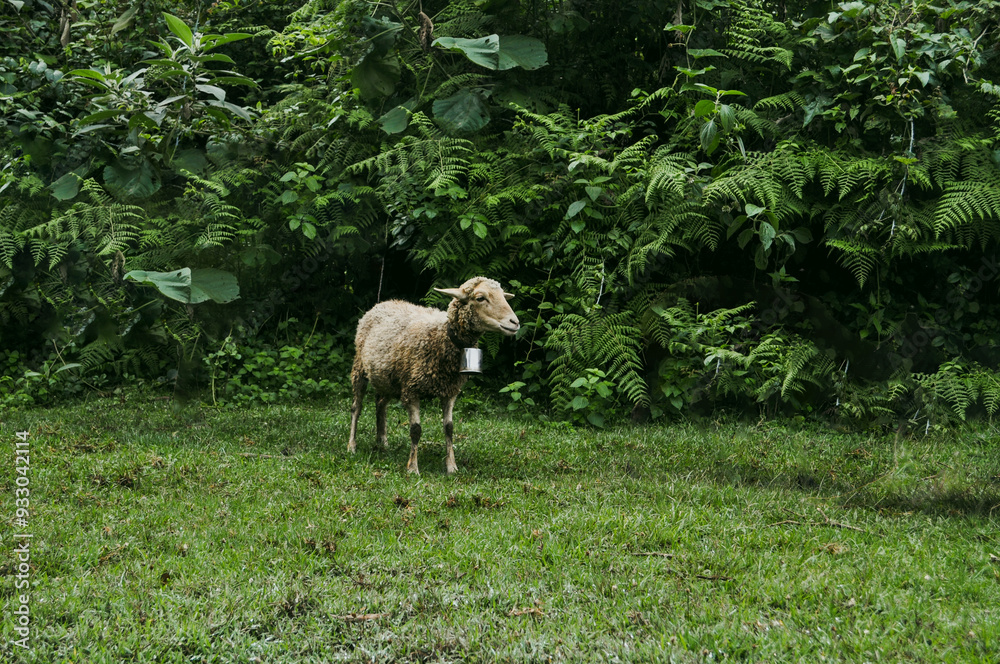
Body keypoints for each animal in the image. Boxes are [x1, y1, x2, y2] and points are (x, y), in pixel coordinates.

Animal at [347, 277, 520, 474]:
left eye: (503, 296)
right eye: (480, 298)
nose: (515, 323)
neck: (441, 337)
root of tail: (384, 302)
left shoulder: (450, 392)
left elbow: (449, 428)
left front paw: (452, 466)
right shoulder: (411, 390)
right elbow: (415, 430)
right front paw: (413, 468)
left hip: (387, 378)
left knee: (380, 403)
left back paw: (382, 441)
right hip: (359, 368)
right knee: (356, 407)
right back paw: (351, 446)